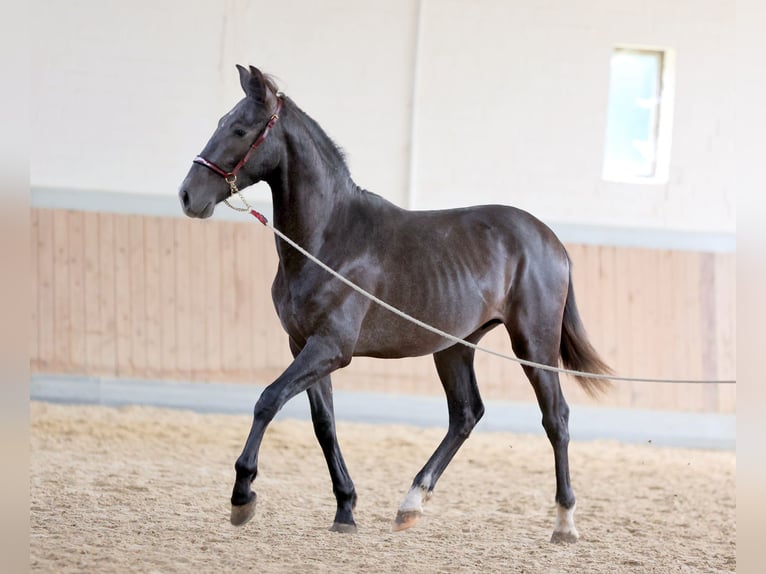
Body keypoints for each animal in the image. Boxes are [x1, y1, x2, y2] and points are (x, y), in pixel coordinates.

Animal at [178, 64, 612, 544]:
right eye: (222, 123)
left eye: (240, 129)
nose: (188, 196)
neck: (330, 237)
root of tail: (553, 241)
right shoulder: (303, 346)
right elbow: (324, 425)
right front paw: (345, 510)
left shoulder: (331, 348)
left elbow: (268, 400)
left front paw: (242, 496)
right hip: (455, 347)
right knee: (466, 415)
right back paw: (411, 504)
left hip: (533, 344)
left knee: (556, 418)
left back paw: (564, 523)